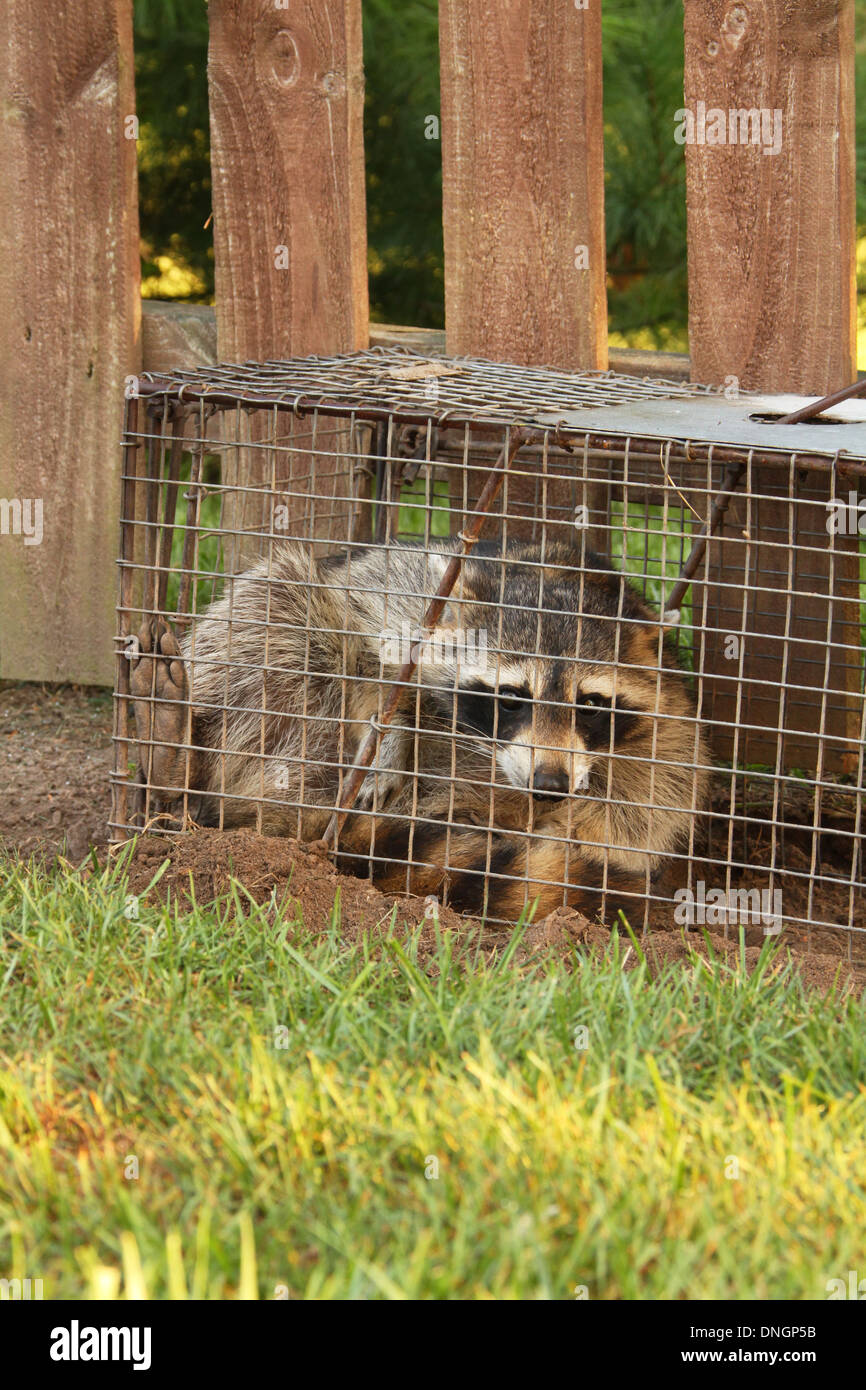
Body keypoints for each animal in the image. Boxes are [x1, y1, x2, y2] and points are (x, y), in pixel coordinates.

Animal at [130, 536, 711, 928]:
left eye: (589, 707)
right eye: (511, 697)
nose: (550, 784)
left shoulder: (666, 724)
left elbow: (643, 810)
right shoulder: (407, 588)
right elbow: (372, 644)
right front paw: (391, 734)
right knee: (275, 605)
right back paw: (177, 759)